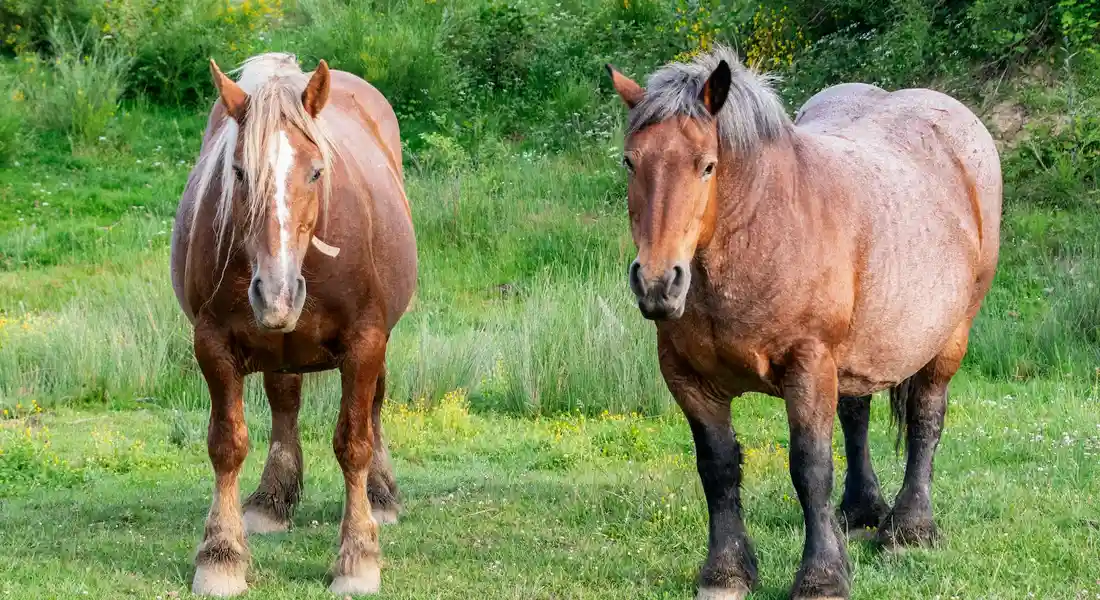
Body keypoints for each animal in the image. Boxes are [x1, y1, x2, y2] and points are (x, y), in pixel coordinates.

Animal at [170, 52, 416, 596]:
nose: (276, 292)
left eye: (316, 172)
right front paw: (221, 557)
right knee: (285, 403)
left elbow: (353, 442)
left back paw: (382, 496)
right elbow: (227, 444)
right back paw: (272, 499)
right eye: (239, 171)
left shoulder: (366, 342)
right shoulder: (212, 344)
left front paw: (357, 557)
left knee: (374, 406)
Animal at [606, 46, 1000, 600]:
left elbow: (810, 467)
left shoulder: (809, 366)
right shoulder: (687, 377)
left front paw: (821, 576)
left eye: (707, 166)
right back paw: (860, 511)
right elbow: (717, 467)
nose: (659, 283)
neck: (764, 230)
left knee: (926, 418)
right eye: (630, 161)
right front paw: (725, 572)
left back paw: (909, 529)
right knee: (856, 415)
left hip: (950, 337)